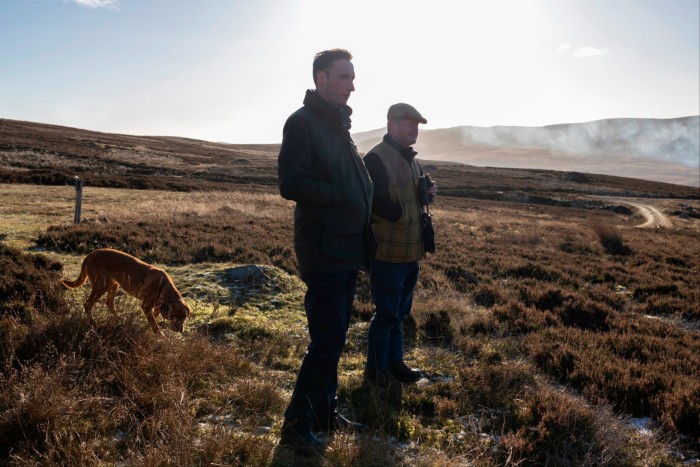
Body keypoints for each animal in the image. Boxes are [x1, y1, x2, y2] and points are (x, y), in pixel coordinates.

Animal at [60, 249, 190, 332]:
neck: (163, 285)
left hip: (113, 285)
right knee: (88, 304)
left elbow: (154, 317)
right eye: (174, 316)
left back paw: (118, 318)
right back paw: (93, 324)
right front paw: (159, 335)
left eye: (184, 317)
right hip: (100, 285)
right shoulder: (146, 306)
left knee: (109, 303)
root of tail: (91, 254)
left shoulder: (155, 306)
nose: (180, 331)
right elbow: (154, 324)